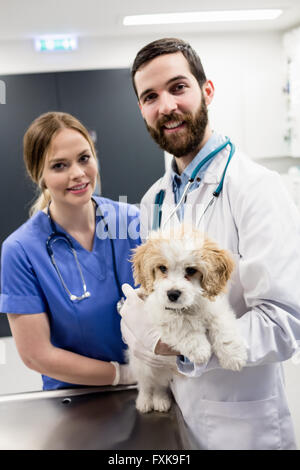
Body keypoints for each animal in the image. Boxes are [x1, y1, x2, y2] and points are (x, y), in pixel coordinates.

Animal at [126, 224, 246, 412]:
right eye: (162, 268)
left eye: (190, 270)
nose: (173, 294)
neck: (189, 306)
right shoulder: (159, 312)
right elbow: (180, 325)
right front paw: (200, 349)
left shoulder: (216, 308)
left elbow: (223, 326)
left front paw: (233, 355)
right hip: (141, 365)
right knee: (146, 384)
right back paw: (144, 401)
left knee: (160, 385)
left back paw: (160, 400)